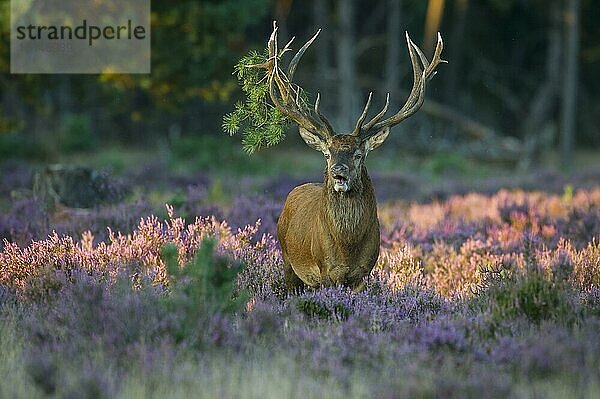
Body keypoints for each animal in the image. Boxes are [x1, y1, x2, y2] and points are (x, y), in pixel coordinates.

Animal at [252, 21, 446, 294]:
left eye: (358, 154)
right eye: (326, 154)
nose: (338, 173)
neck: (347, 249)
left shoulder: (364, 272)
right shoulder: (324, 270)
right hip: (288, 260)